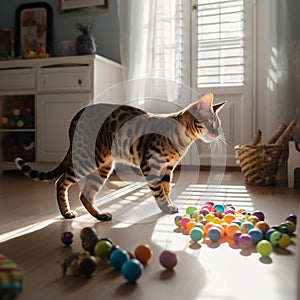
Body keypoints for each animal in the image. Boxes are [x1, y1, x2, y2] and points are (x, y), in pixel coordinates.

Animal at [14, 92, 225, 221]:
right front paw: (166, 207)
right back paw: (66, 212)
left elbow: (166, 189)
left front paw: (169, 206)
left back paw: (100, 216)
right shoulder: (150, 165)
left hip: (103, 165)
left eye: (219, 125)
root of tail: (77, 115)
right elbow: (159, 191)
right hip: (87, 159)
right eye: (211, 124)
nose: (217, 135)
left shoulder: (167, 169)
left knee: (84, 194)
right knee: (61, 182)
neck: (182, 138)